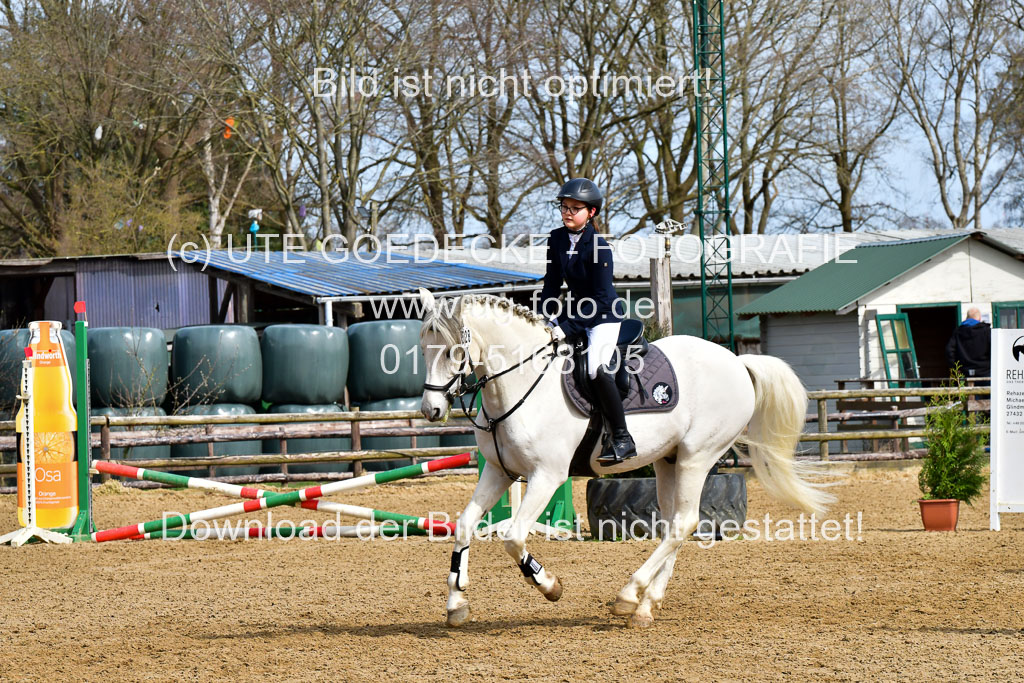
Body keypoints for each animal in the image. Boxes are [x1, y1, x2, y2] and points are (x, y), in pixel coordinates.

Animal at [415, 288, 831, 630]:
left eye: (452, 351)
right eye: (422, 350)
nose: (431, 410)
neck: (520, 382)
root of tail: (737, 361)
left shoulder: (547, 476)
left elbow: (514, 537)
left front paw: (549, 585)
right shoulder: (499, 472)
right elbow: (464, 524)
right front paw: (456, 603)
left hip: (697, 457)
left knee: (684, 522)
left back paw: (629, 595)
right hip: (668, 460)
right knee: (673, 524)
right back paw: (646, 605)